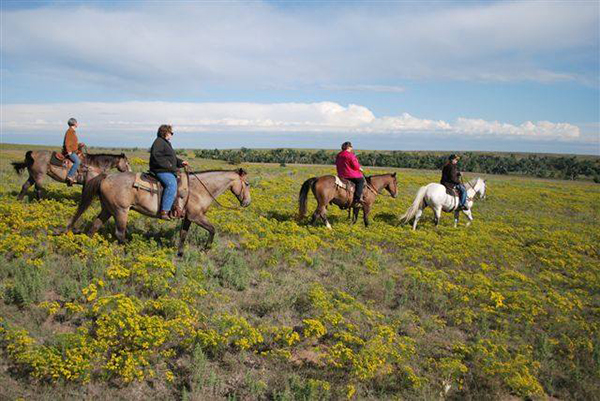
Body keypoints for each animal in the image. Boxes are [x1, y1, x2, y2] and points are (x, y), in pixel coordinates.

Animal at [65, 169, 251, 256]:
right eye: (247, 184)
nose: (247, 203)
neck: (199, 189)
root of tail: (106, 176)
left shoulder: (188, 218)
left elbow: (183, 235)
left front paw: (180, 254)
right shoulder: (197, 217)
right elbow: (212, 229)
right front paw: (206, 249)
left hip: (107, 209)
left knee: (94, 227)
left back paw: (86, 249)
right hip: (120, 211)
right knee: (119, 233)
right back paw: (128, 251)